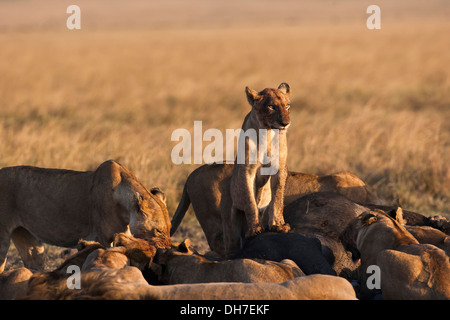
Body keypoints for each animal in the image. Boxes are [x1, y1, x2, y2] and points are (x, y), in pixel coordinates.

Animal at [229, 84, 292, 254]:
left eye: (287, 106)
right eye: (271, 107)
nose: (285, 123)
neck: (267, 133)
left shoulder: (279, 168)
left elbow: (277, 199)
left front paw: (278, 225)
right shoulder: (247, 170)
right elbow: (251, 201)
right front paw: (254, 230)